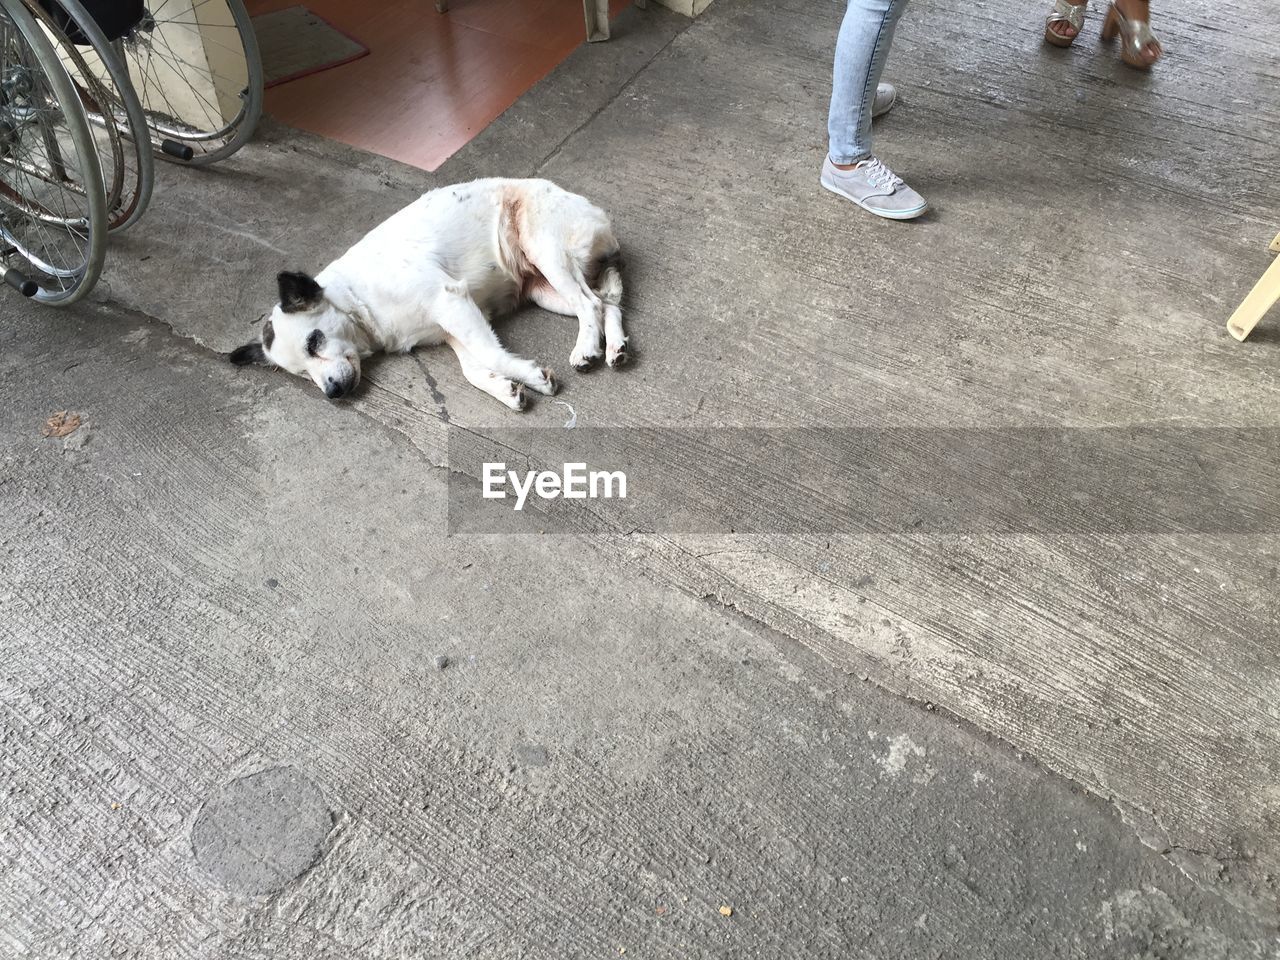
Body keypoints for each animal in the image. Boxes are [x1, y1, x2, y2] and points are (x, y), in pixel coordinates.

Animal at [234, 179, 629, 412]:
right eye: (302, 373)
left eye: (314, 342)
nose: (332, 394)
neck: (357, 300)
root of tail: (596, 213)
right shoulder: (455, 326)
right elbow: (474, 369)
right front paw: (507, 389)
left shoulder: (450, 300)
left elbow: (490, 355)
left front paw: (534, 378)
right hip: (542, 290)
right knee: (606, 304)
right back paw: (615, 348)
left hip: (545, 252)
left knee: (590, 303)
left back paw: (586, 348)